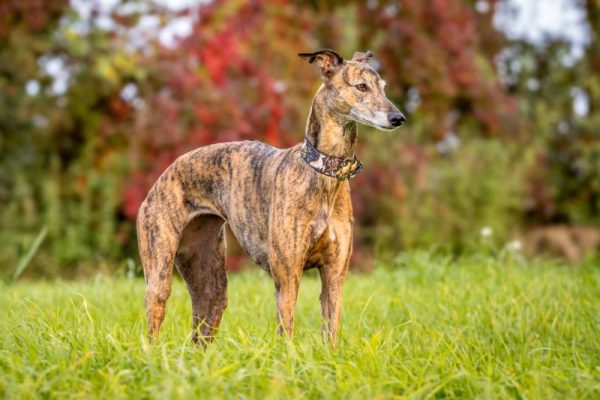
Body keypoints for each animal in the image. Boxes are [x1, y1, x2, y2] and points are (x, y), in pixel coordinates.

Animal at [138, 49, 406, 344]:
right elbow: (286, 333)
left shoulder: (335, 276)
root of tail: (165, 174)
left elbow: (331, 334)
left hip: (211, 285)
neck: (322, 171)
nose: (399, 118)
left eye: (383, 88)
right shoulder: (287, 277)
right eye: (361, 86)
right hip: (160, 274)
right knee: (154, 325)